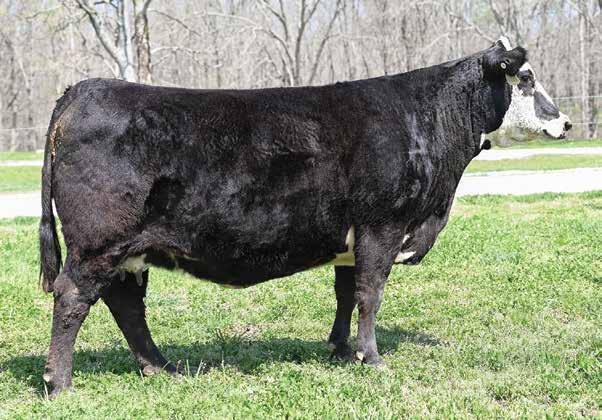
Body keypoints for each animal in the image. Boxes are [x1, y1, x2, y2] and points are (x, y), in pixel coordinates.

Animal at [39, 37, 571, 396]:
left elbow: (345, 293)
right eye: (525, 78)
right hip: (98, 243)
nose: (565, 122)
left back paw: (161, 367)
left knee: (126, 306)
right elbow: (370, 295)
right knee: (73, 300)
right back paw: (60, 382)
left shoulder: (351, 238)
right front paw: (371, 358)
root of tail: (83, 89)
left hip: (130, 249)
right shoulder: (382, 226)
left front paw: (340, 349)